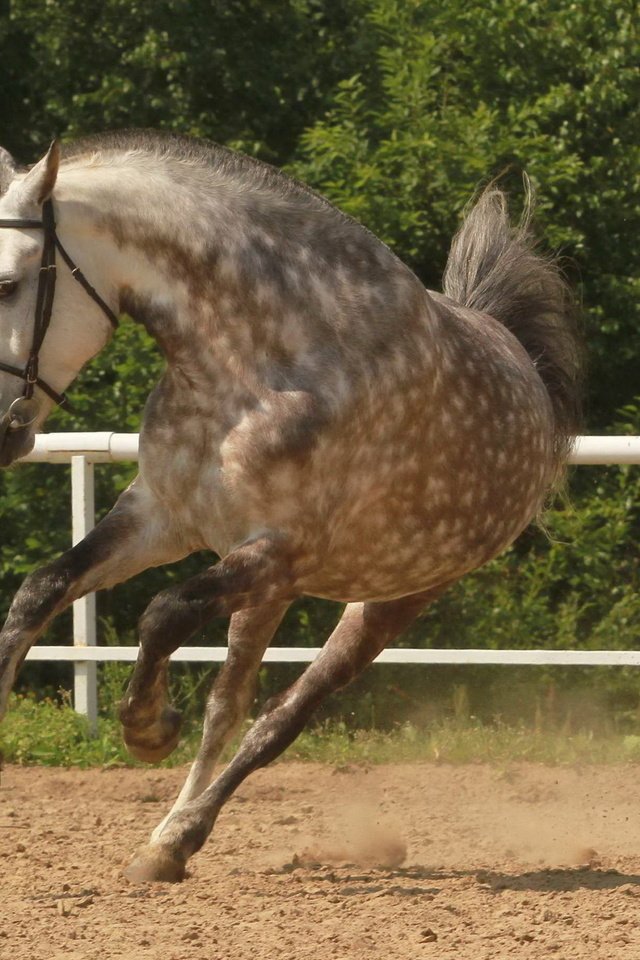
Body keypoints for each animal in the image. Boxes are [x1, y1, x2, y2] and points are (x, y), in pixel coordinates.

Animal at [0, 131, 584, 880]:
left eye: (8, 285)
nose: (3, 434)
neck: (256, 364)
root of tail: (518, 358)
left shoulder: (280, 550)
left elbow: (163, 614)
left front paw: (150, 728)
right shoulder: (162, 516)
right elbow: (42, 589)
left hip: (385, 600)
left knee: (277, 718)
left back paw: (178, 837)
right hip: (269, 591)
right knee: (229, 706)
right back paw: (166, 841)